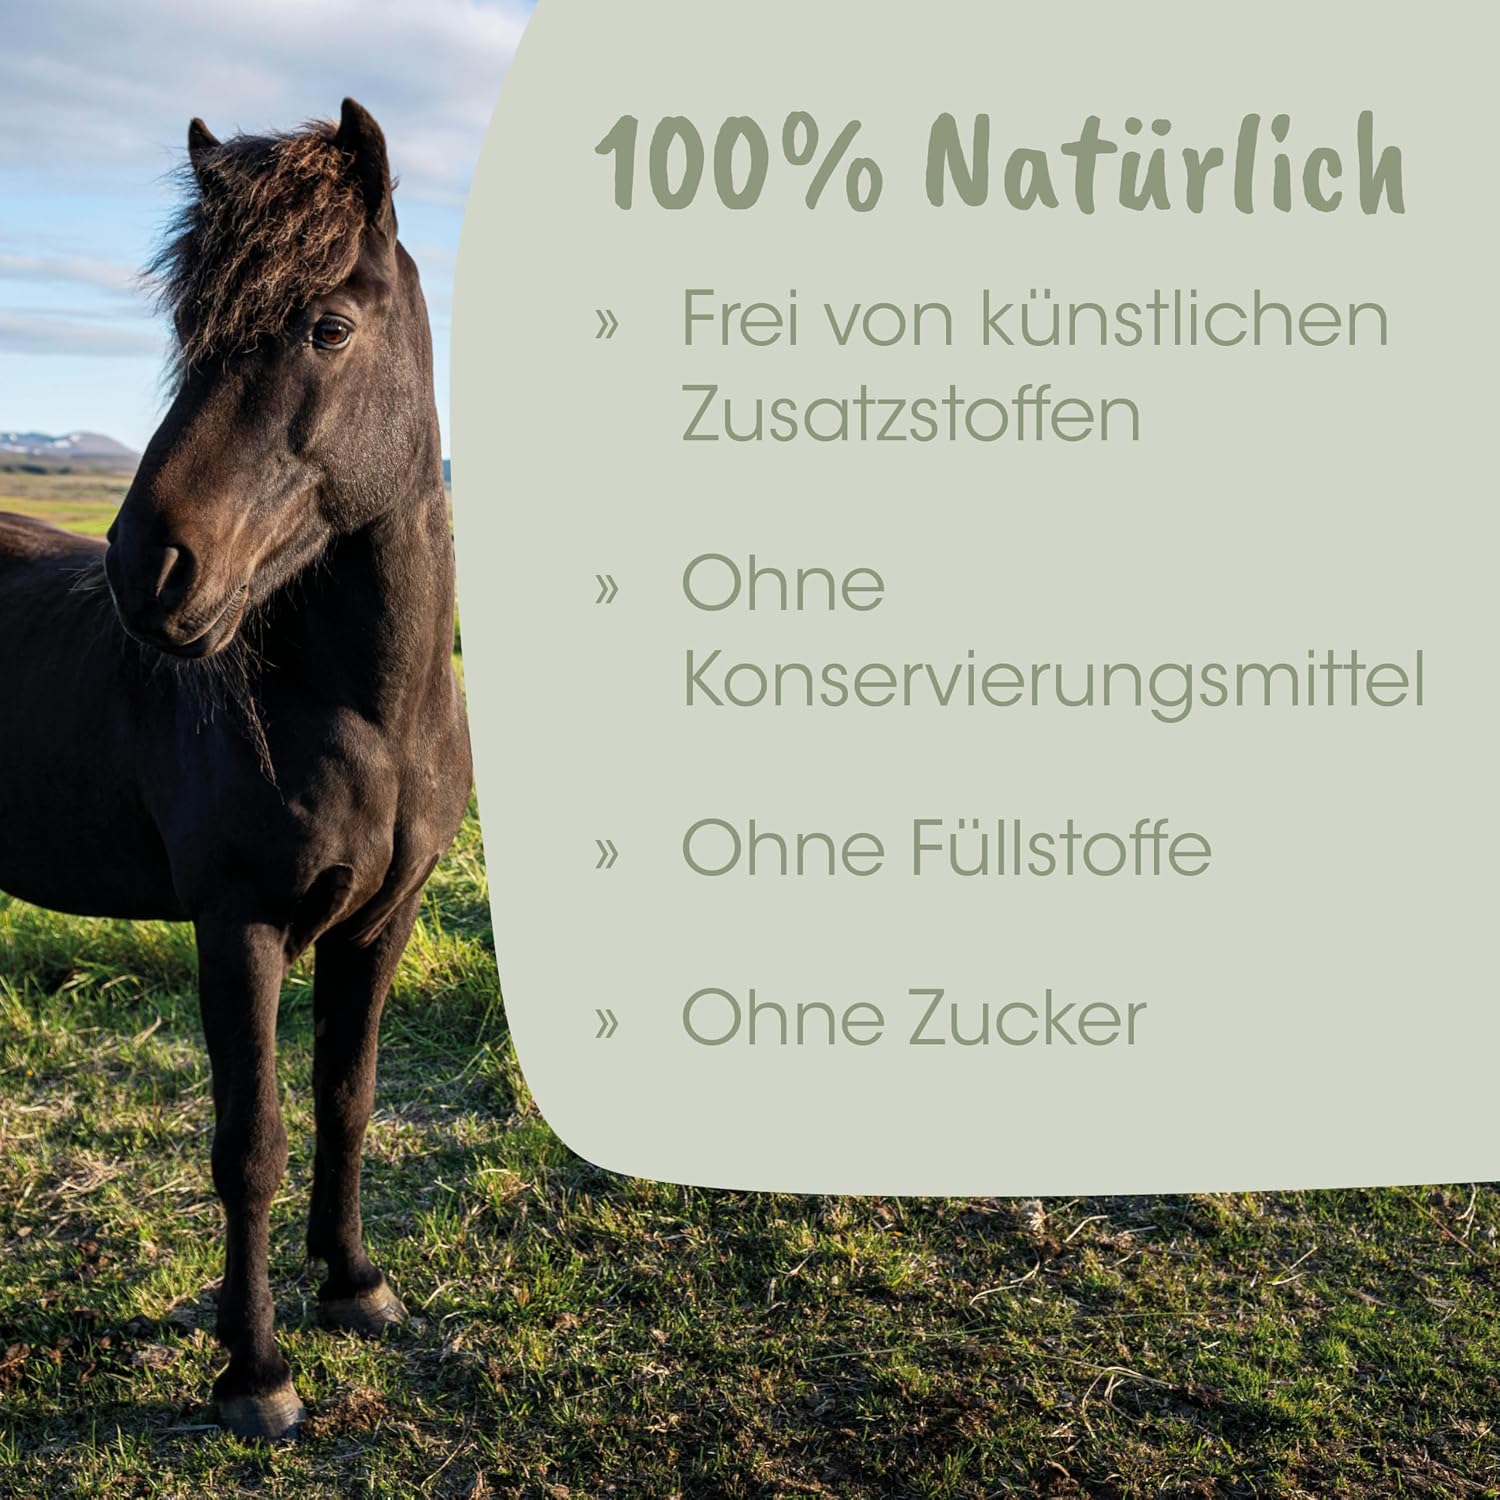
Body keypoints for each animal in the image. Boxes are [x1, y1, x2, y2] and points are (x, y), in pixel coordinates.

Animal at [0, 100, 473, 1440]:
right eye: (189, 335)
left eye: (329, 326)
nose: (147, 569)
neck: (365, 713)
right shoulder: (239, 922)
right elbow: (249, 1141)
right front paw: (254, 1371)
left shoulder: (385, 919)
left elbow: (348, 1097)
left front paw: (356, 1288)